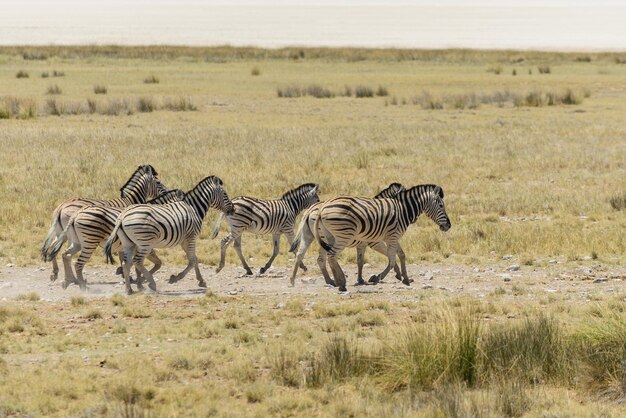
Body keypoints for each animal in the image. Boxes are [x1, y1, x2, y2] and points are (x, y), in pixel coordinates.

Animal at [46, 189, 184, 290]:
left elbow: (134, 263)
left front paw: (133, 279)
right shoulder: (144, 246)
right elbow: (151, 264)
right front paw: (140, 282)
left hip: (74, 239)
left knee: (63, 253)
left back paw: (67, 280)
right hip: (83, 240)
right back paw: (77, 282)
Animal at [103, 175, 233, 296]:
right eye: (225, 194)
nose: (233, 209)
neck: (194, 208)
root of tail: (122, 216)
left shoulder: (184, 241)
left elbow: (194, 259)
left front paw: (201, 281)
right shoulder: (191, 238)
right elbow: (192, 260)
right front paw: (176, 278)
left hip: (129, 243)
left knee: (126, 263)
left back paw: (129, 290)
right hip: (144, 242)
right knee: (137, 261)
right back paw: (151, 284)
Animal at [314, 185, 446, 292]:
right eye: (441, 205)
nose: (448, 225)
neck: (403, 210)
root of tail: (322, 208)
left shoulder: (392, 237)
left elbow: (401, 255)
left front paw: (405, 278)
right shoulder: (389, 238)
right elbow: (391, 260)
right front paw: (377, 278)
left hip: (329, 236)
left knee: (327, 257)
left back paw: (336, 282)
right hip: (343, 235)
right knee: (331, 255)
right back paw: (341, 283)